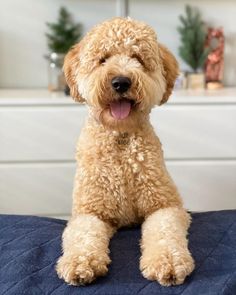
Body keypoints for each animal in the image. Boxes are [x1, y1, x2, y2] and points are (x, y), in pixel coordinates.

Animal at [56, 17, 195, 288]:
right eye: (103, 59)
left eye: (137, 58)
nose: (121, 81)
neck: (120, 139)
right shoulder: (90, 212)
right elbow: (83, 236)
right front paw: (80, 263)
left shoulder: (165, 206)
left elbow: (165, 231)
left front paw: (168, 261)